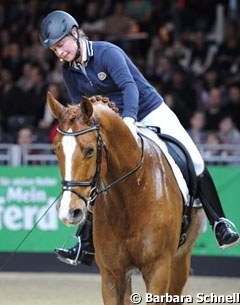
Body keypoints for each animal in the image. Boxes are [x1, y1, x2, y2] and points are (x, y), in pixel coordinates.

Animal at [48, 93, 204, 304]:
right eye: (56, 150)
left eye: (90, 150)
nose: (69, 212)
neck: (130, 198)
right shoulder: (112, 275)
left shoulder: (159, 270)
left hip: (180, 259)